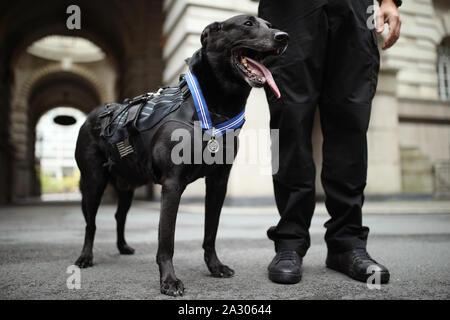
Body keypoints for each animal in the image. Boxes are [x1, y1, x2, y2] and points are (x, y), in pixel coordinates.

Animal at [74, 14, 288, 296]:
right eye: (248, 24)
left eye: (270, 25)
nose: (284, 37)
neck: (211, 110)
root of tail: (94, 114)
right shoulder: (172, 185)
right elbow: (167, 240)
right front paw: (169, 281)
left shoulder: (218, 182)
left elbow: (211, 232)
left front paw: (215, 266)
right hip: (93, 182)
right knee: (91, 223)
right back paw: (85, 257)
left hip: (127, 184)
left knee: (120, 216)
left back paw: (123, 247)